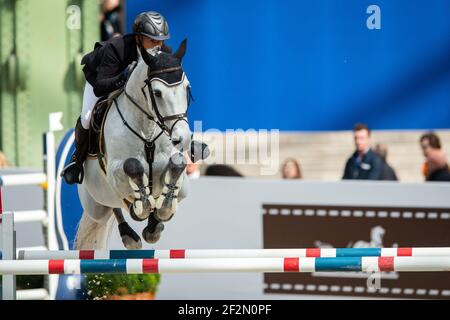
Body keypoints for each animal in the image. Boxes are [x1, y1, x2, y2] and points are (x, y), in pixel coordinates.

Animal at [76, 40, 192, 250]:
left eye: (187, 88)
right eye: (157, 93)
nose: (183, 138)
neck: (147, 130)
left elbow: (176, 165)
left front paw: (162, 210)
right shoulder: (115, 171)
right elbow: (132, 165)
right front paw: (142, 207)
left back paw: (153, 226)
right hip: (96, 205)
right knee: (114, 207)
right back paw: (130, 234)